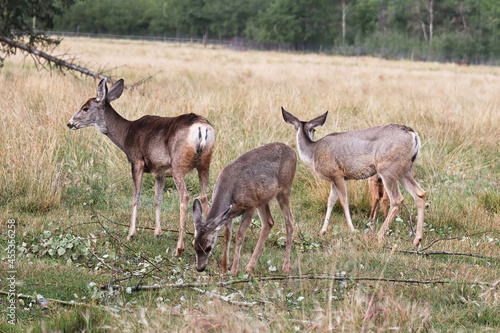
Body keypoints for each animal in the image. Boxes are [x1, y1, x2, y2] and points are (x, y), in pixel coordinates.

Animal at [67, 78, 215, 254]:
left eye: (85, 108)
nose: (70, 123)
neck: (125, 135)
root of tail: (202, 128)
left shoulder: (136, 161)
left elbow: (135, 197)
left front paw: (131, 234)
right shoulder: (160, 171)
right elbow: (158, 199)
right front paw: (157, 232)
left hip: (178, 164)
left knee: (184, 196)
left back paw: (179, 248)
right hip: (205, 163)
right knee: (205, 196)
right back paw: (209, 242)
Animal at [191, 143, 294, 274]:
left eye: (208, 247)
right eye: (193, 244)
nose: (200, 268)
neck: (229, 189)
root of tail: (293, 151)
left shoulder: (250, 205)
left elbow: (240, 235)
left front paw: (234, 270)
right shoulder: (229, 214)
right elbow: (227, 236)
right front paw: (224, 268)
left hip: (284, 190)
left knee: (289, 222)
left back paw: (286, 266)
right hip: (262, 200)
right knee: (269, 222)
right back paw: (250, 266)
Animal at [282, 107, 426, 246]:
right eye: (313, 129)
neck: (313, 153)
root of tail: (414, 135)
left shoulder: (337, 174)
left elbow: (344, 201)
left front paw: (352, 229)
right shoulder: (334, 179)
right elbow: (330, 201)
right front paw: (322, 231)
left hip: (387, 168)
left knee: (397, 199)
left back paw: (379, 235)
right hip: (404, 170)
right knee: (420, 193)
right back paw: (417, 239)